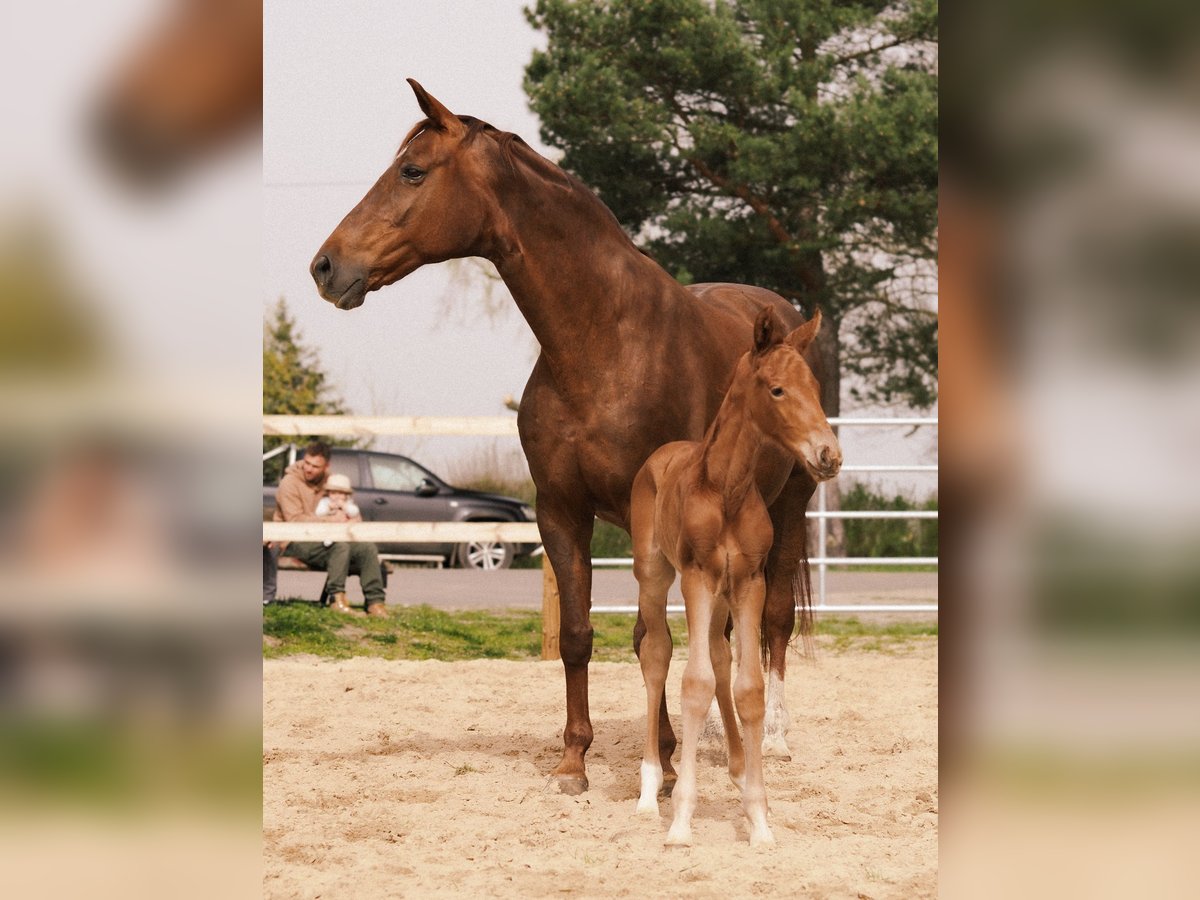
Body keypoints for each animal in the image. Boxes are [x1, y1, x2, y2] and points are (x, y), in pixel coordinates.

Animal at [628, 309, 844, 844]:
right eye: (777, 390)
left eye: (814, 385)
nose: (829, 455)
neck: (724, 488)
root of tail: (660, 453)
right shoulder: (698, 578)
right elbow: (695, 683)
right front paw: (681, 820)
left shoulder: (748, 582)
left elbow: (747, 687)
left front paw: (759, 818)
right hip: (655, 576)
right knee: (657, 655)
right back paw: (648, 792)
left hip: (722, 595)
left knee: (722, 656)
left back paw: (735, 764)